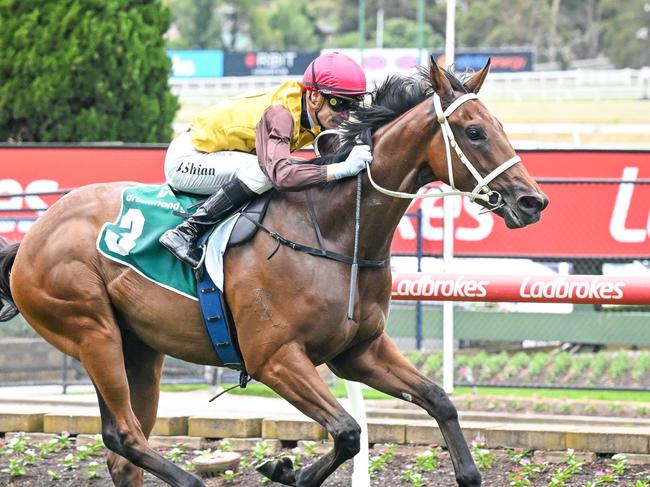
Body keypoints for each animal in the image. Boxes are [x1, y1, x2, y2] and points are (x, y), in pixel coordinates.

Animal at [0, 60, 548, 487]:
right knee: (124, 434)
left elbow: (439, 401)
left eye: (501, 126)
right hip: (91, 331)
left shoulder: (360, 351)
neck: (333, 234)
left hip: (138, 348)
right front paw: (284, 469)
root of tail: (33, 235)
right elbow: (348, 431)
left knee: (124, 452)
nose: (533, 202)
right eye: (475, 133)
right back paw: (191, 479)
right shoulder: (275, 358)